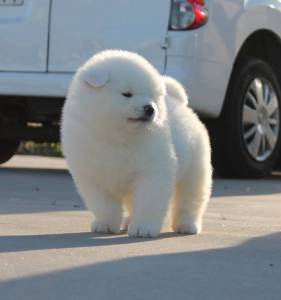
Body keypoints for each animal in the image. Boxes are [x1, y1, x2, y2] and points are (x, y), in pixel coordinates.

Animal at [60, 49, 210, 237]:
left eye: (152, 96)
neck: (117, 136)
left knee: (190, 199)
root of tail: (179, 103)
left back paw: (187, 225)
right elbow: (103, 205)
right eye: (127, 94)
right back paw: (128, 222)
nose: (150, 108)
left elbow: (148, 202)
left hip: (195, 168)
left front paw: (143, 228)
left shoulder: (152, 172)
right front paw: (106, 224)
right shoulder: (92, 176)